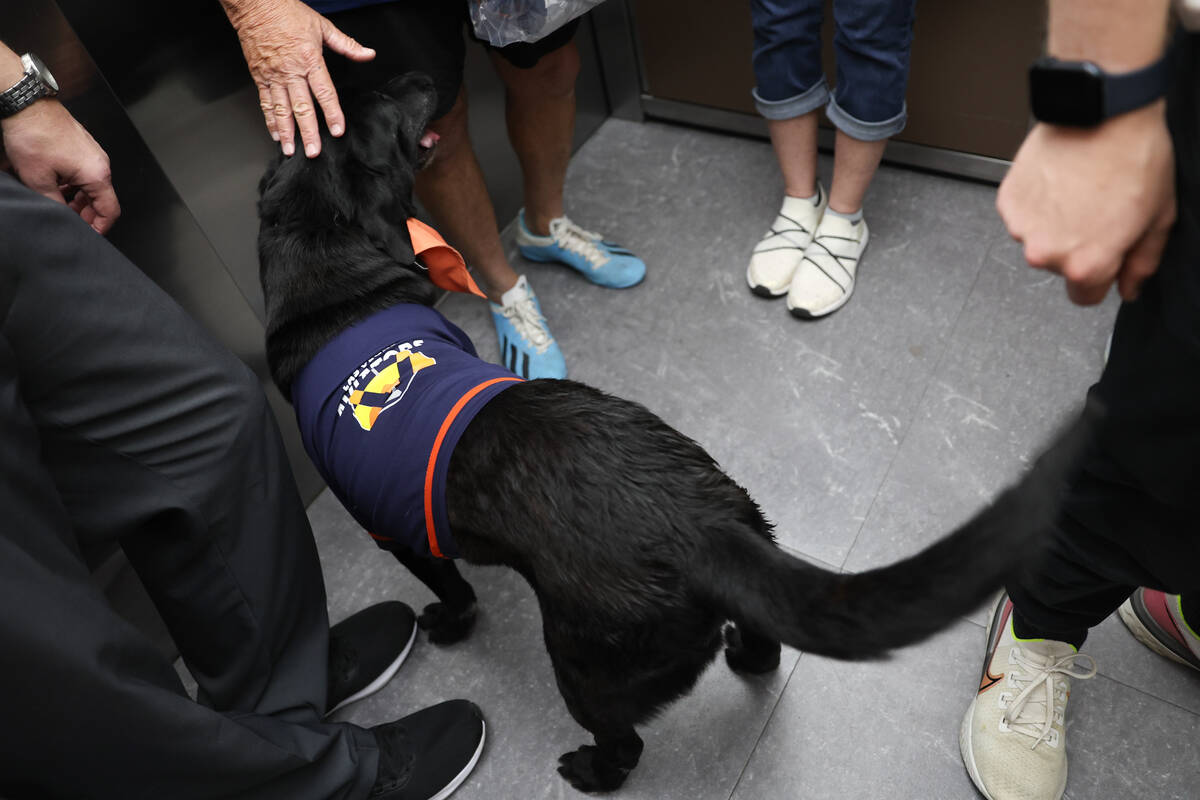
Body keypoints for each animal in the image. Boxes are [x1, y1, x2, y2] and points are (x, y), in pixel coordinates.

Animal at [258, 74, 1094, 796]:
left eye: (368, 105)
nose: (429, 77)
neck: (335, 284)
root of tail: (700, 526)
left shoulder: (393, 531)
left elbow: (451, 585)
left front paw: (449, 623)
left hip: (583, 662)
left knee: (624, 740)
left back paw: (591, 771)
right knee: (762, 644)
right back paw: (743, 655)